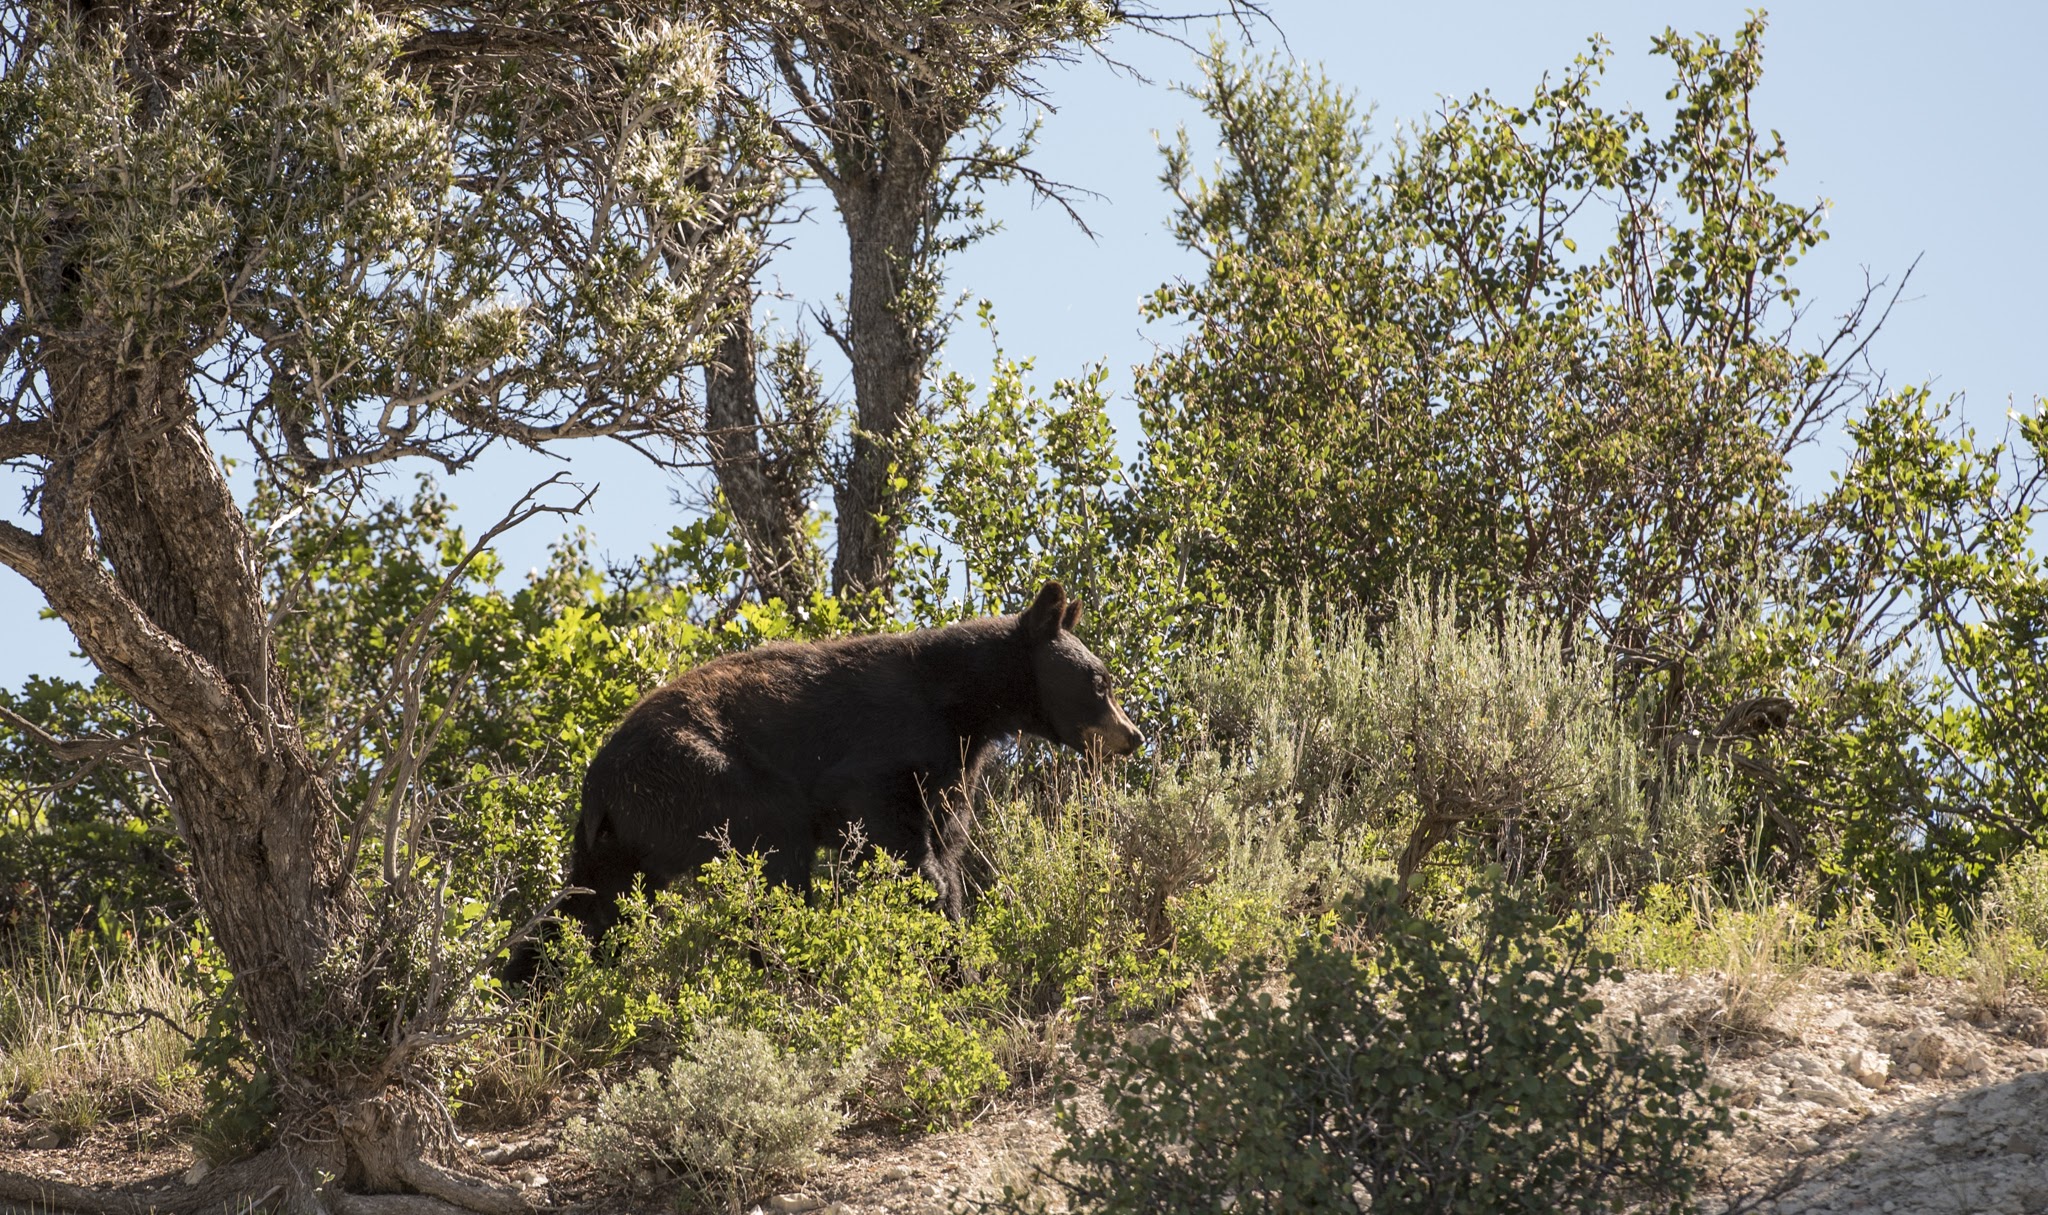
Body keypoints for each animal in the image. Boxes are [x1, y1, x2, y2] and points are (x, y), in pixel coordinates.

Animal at [506, 581, 1141, 981]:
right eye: (1102, 682)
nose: (1132, 736)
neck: (966, 700)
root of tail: (597, 785)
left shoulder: (955, 766)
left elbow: (949, 840)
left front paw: (957, 942)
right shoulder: (883, 750)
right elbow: (896, 842)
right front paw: (948, 951)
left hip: (624, 833)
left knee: (591, 903)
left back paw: (527, 982)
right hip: (695, 775)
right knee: (773, 848)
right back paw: (794, 957)